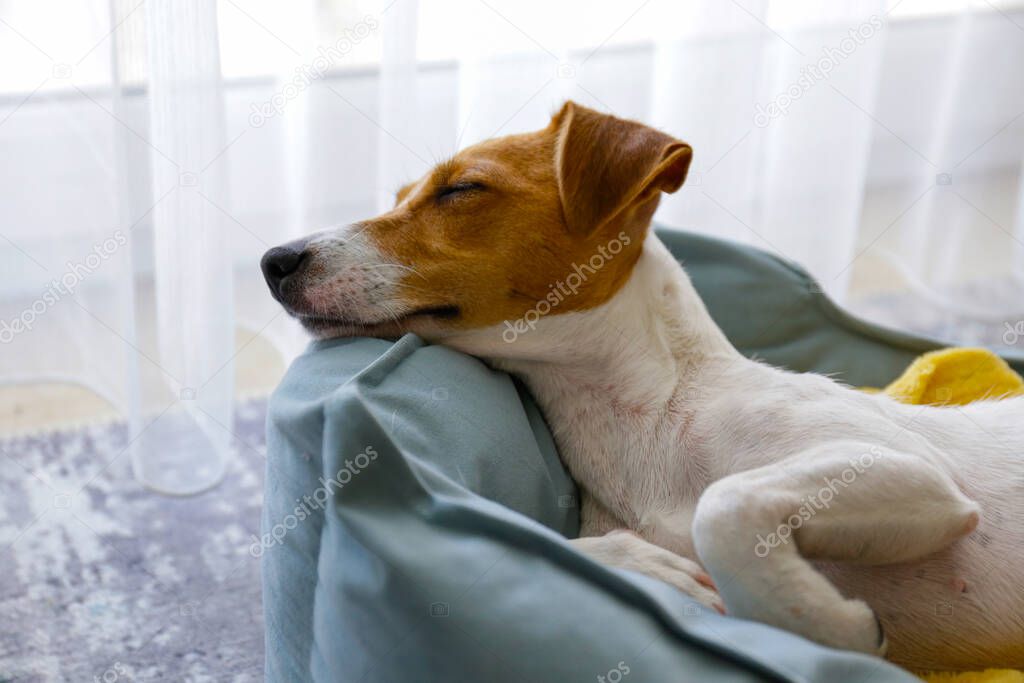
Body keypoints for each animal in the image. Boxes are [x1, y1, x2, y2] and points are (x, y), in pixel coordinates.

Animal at [264, 104, 1024, 671]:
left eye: (461, 189)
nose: (274, 259)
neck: (649, 420)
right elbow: (562, 548)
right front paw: (650, 566)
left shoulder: (908, 470)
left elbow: (724, 505)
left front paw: (834, 629)